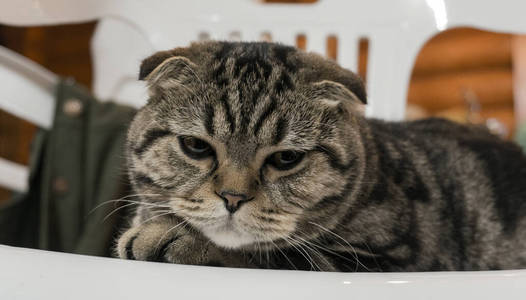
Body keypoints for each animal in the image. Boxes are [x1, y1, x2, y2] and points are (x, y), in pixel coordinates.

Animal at [117, 40, 526, 272]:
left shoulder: (394, 260)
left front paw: (170, 239)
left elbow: (272, 257)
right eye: (197, 146)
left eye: (286, 159)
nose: (232, 198)